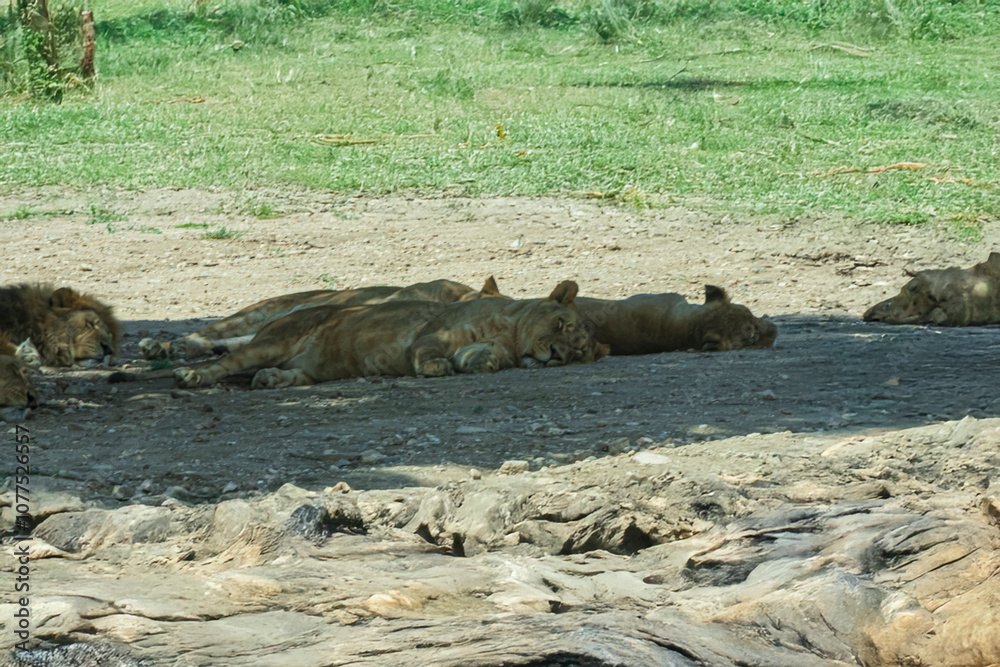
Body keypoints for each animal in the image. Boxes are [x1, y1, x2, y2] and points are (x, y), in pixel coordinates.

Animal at [172, 281, 593, 390]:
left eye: (578, 351)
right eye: (561, 325)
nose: (557, 355)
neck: (510, 333)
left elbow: (476, 357)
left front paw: (483, 364)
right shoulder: (434, 330)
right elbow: (426, 348)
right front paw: (435, 368)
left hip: (307, 368)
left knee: (288, 373)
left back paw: (270, 379)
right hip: (272, 339)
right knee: (226, 360)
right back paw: (190, 374)